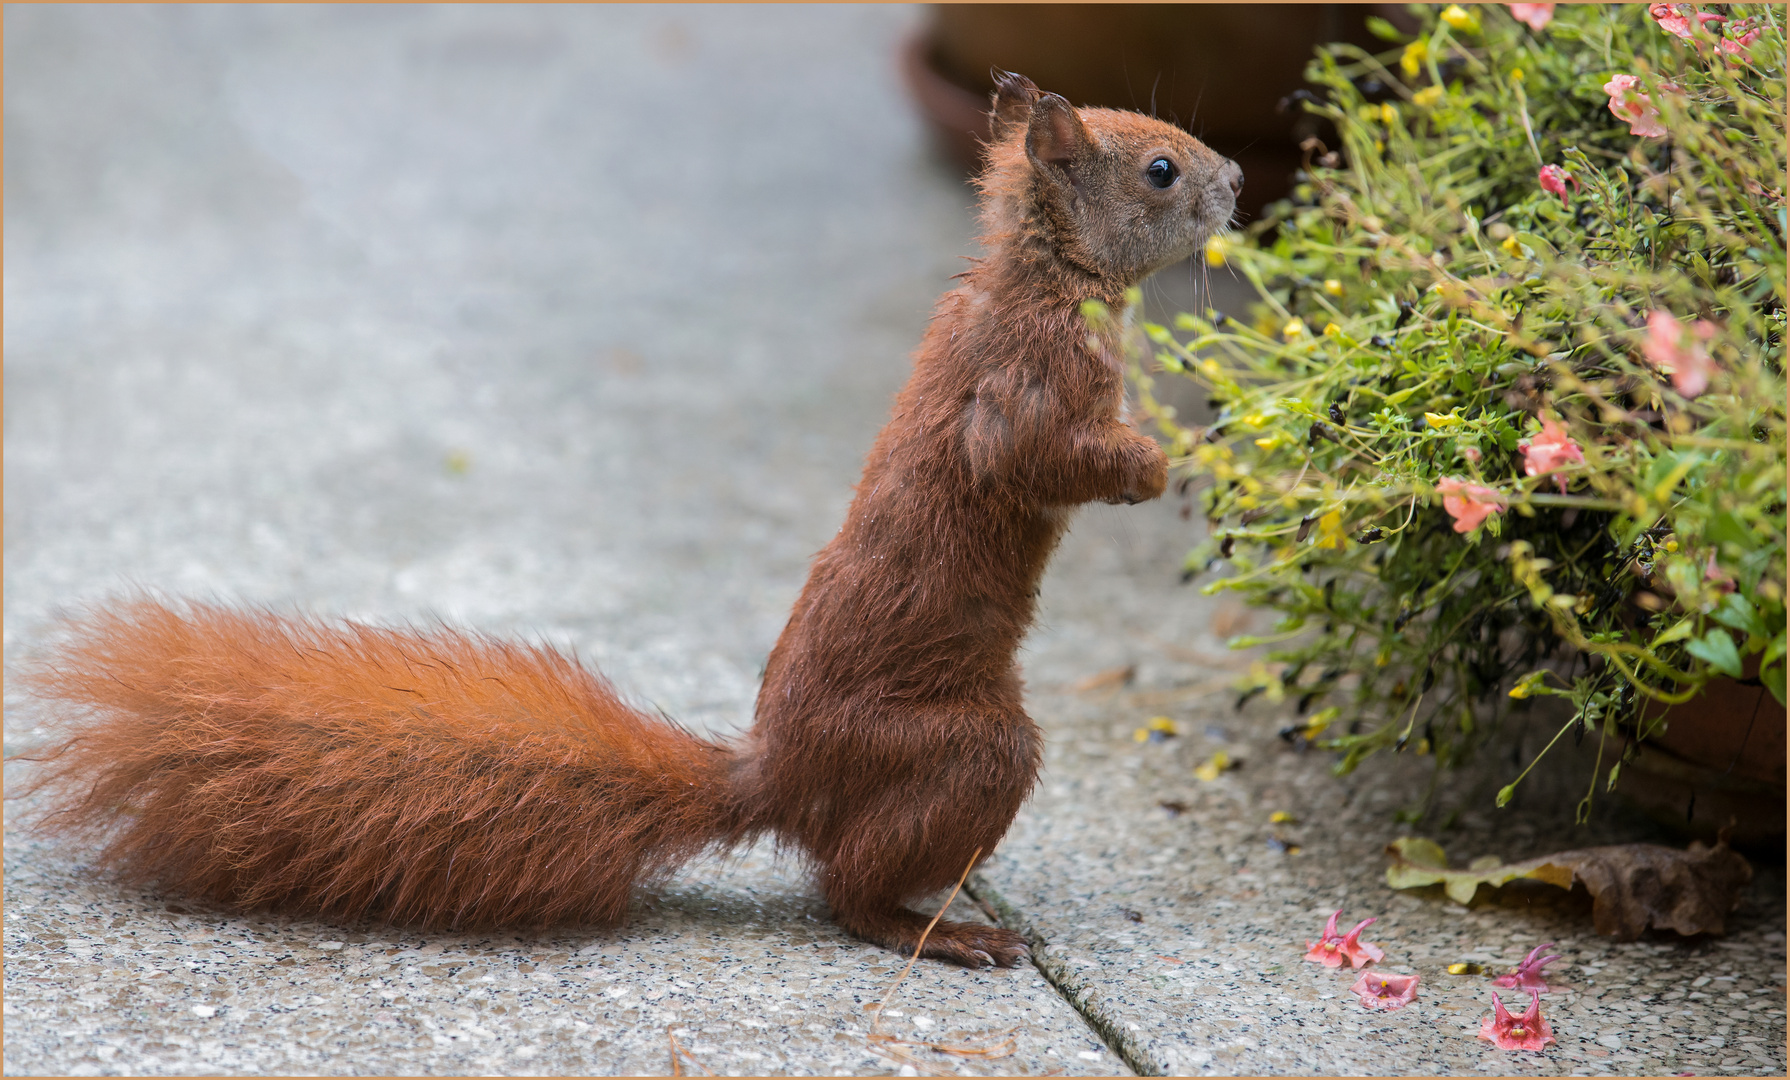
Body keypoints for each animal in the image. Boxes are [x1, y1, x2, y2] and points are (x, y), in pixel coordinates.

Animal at [13, 73, 1238, 974]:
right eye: (1159, 169)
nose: (1232, 178)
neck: (1041, 277)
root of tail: (781, 778)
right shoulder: (1021, 387)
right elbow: (1036, 456)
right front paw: (1157, 465)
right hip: (967, 745)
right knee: (844, 890)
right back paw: (943, 930)